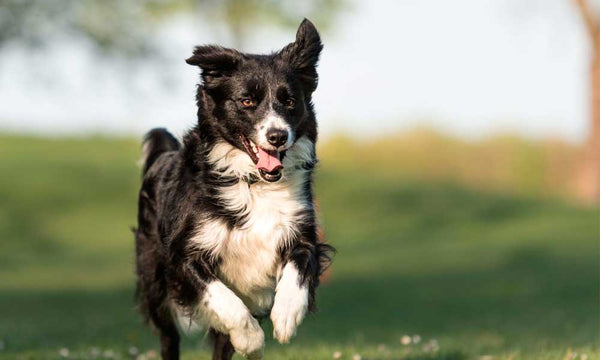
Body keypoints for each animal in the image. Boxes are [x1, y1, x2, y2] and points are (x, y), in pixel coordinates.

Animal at [133, 19, 336, 360]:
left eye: (290, 101)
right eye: (247, 101)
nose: (278, 136)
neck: (254, 183)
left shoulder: (301, 231)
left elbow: (298, 269)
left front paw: (286, 316)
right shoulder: (183, 255)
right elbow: (223, 300)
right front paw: (251, 339)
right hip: (154, 279)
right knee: (169, 337)